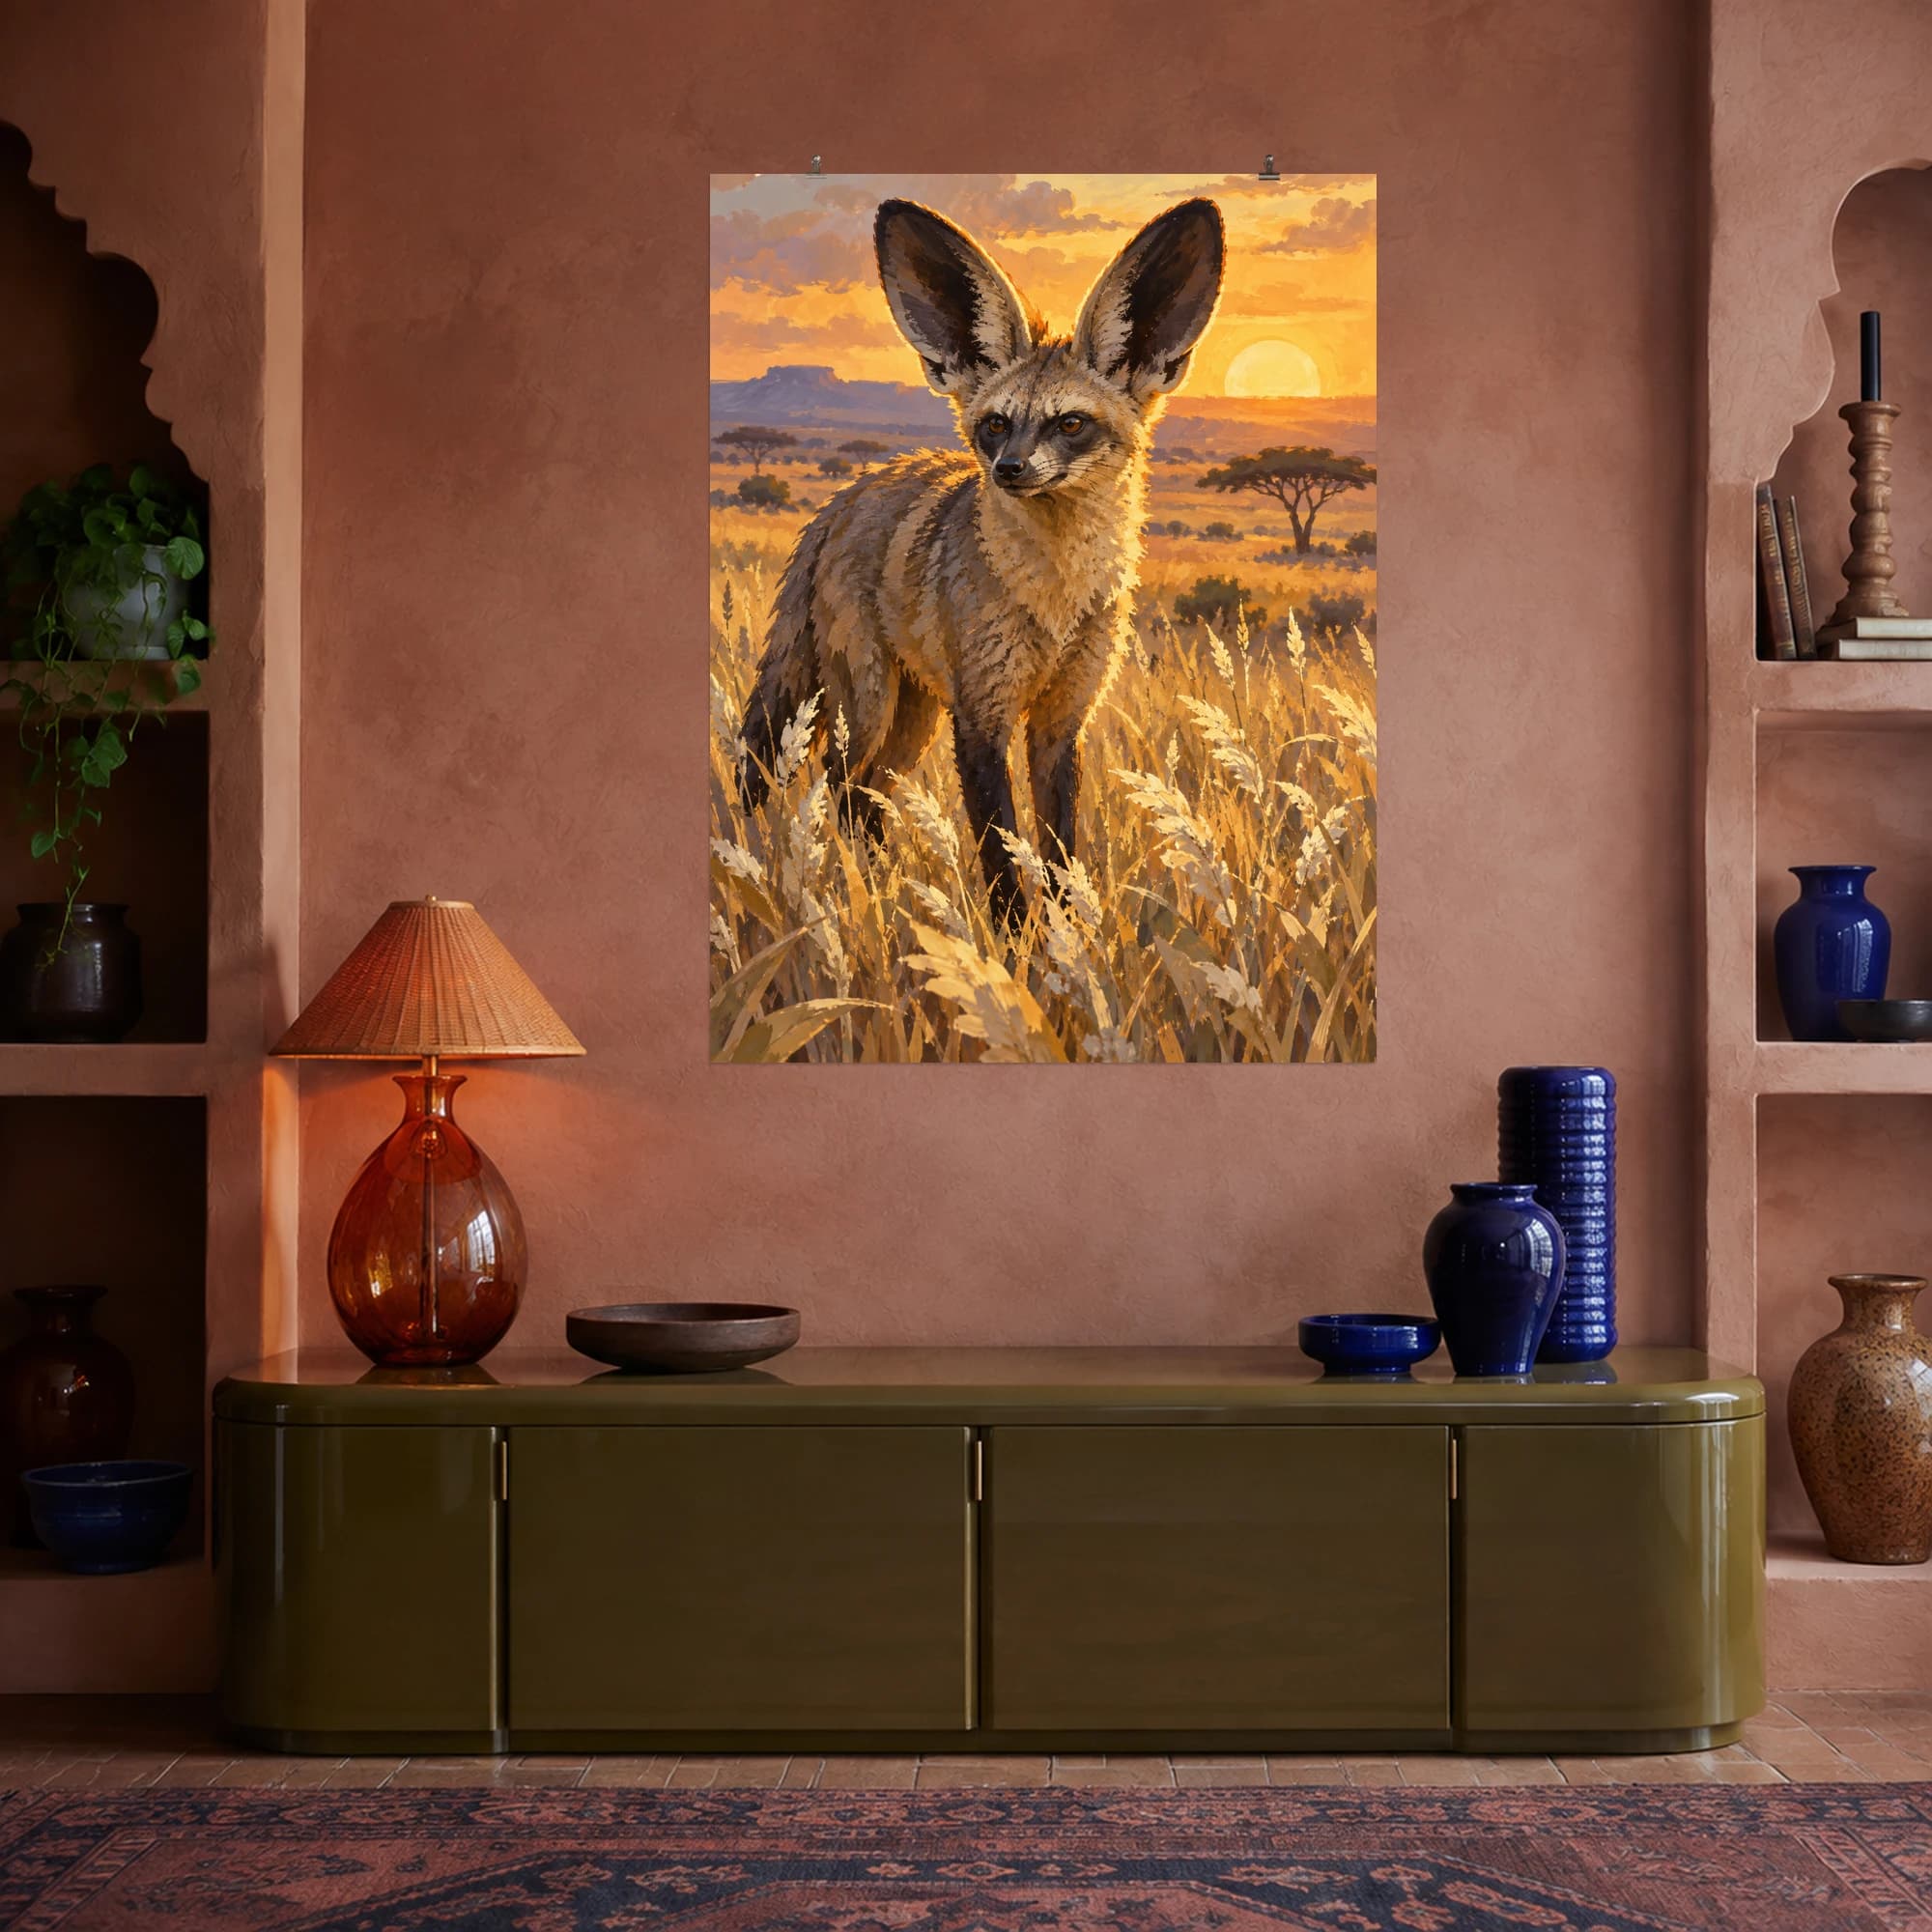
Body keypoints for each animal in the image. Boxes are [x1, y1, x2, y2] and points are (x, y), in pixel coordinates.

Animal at [738, 193, 1226, 920]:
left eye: (1070, 423)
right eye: (996, 424)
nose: (1009, 470)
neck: (1053, 600)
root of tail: (846, 496)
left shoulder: (1061, 720)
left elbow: (1058, 851)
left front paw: (1067, 937)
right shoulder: (980, 716)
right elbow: (1001, 855)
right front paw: (1014, 940)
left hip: (911, 720)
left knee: (866, 800)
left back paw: (881, 889)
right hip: (870, 704)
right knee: (838, 786)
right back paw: (861, 895)